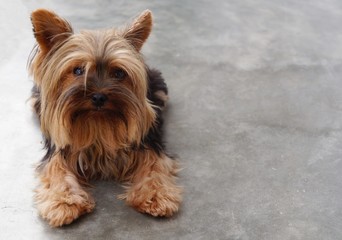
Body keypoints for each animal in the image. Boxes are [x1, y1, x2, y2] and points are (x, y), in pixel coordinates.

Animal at [29, 8, 182, 227]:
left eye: (118, 73)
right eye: (78, 70)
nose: (99, 97)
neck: (98, 122)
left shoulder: (148, 143)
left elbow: (154, 166)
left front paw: (156, 196)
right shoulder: (58, 151)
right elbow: (56, 169)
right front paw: (64, 203)